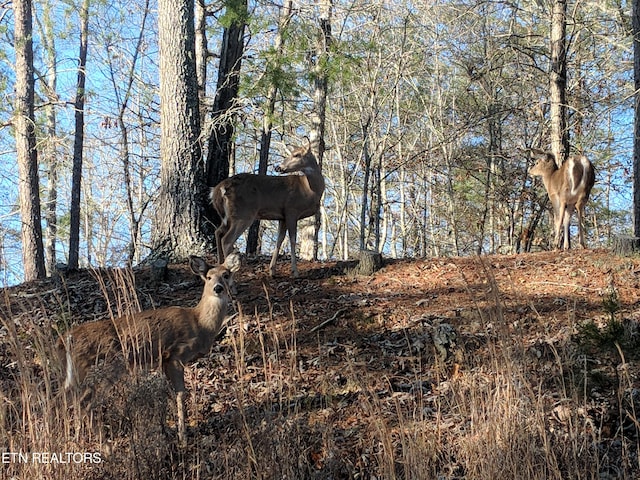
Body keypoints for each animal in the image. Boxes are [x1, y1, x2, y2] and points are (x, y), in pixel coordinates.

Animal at [57, 253, 241, 444]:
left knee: (62, 399)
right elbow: (181, 394)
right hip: (108, 365)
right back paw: (105, 445)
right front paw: (183, 438)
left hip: (75, 373)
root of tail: (66, 339)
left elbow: (169, 394)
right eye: (209, 277)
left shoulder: (164, 361)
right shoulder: (175, 355)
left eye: (226, 274)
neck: (200, 324)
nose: (218, 288)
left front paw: (169, 429)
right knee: (85, 401)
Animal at [211, 138, 324, 278]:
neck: (309, 190)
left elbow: (279, 240)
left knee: (218, 232)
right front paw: (295, 271)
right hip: (244, 213)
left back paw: (219, 267)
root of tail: (218, 189)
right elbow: (292, 240)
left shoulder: (282, 216)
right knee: (227, 240)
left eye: (296, 155)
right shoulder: (292, 210)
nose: (278, 167)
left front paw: (272, 270)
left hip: (228, 216)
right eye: (293, 153)